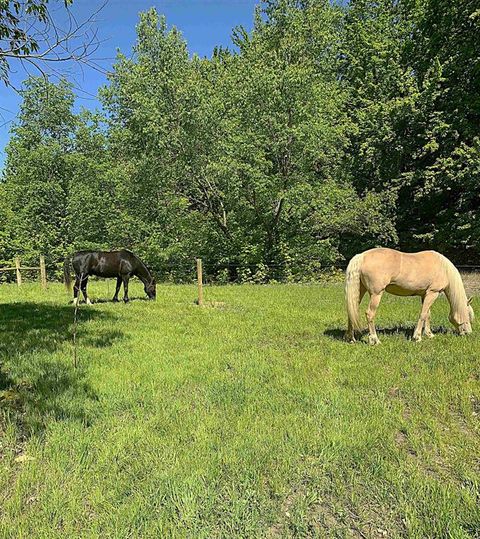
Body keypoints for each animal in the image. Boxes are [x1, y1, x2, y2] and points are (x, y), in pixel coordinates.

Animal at [344, 249, 472, 346]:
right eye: (469, 315)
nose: (468, 333)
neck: (443, 268)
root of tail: (361, 256)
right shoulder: (433, 293)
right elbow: (423, 314)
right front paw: (417, 337)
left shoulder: (425, 294)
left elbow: (427, 314)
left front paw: (429, 334)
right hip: (376, 294)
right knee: (370, 314)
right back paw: (375, 340)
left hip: (360, 291)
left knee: (352, 310)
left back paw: (351, 339)